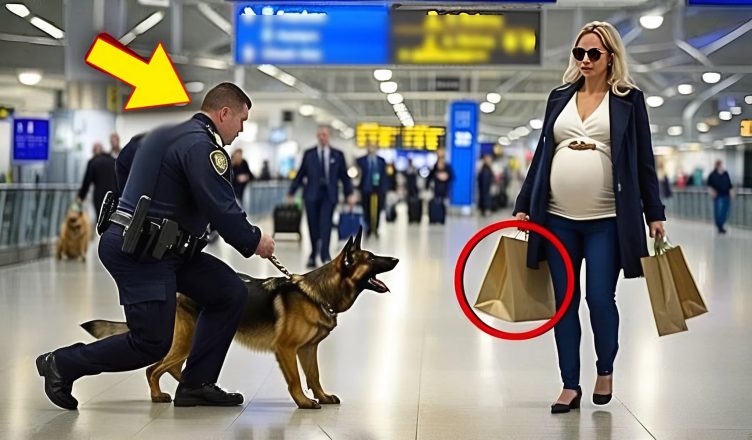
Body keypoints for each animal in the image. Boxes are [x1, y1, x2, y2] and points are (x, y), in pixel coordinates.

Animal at [81, 228, 398, 409]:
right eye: (371, 258)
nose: (395, 260)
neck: (316, 293)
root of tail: (177, 292)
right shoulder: (286, 350)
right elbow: (296, 379)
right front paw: (304, 402)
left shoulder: (308, 350)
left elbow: (314, 376)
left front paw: (321, 396)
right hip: (184, 341)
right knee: (153, 369)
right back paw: (162, 395)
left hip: (189, 342)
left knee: (171, 368)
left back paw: (194, 387)